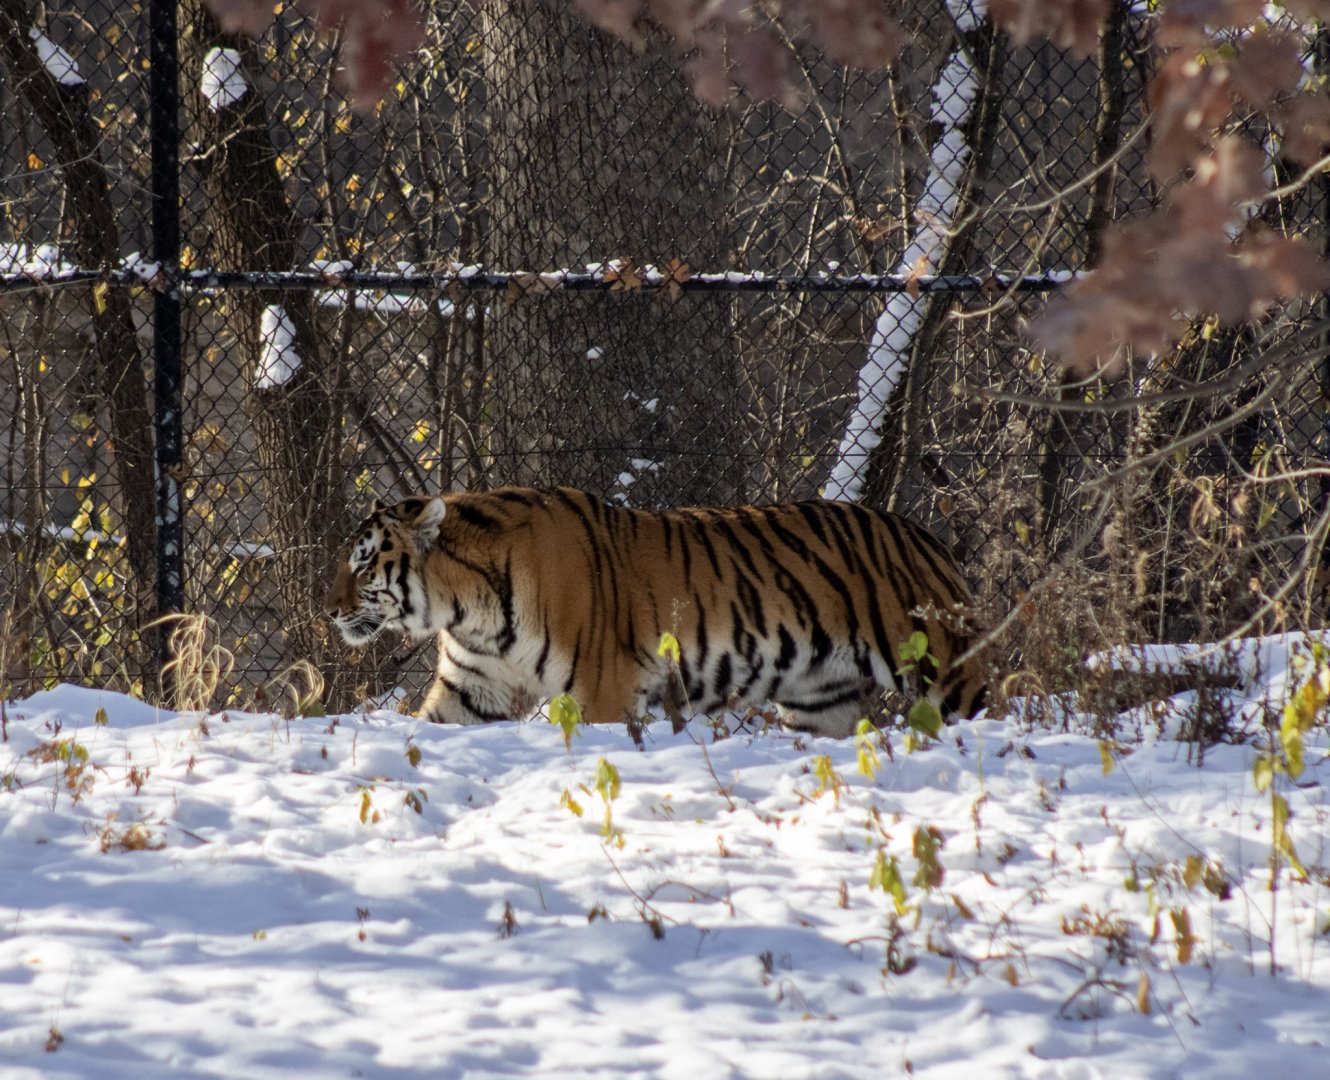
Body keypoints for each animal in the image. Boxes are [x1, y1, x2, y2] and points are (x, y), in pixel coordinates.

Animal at [324, 486, 988, 738]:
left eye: (362, 564)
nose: (327, 612)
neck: (467, 609)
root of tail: (929, 538)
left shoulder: (603, 692)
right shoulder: (473, 687)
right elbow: (427, 726)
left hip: (948, 672)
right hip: (819, 697)